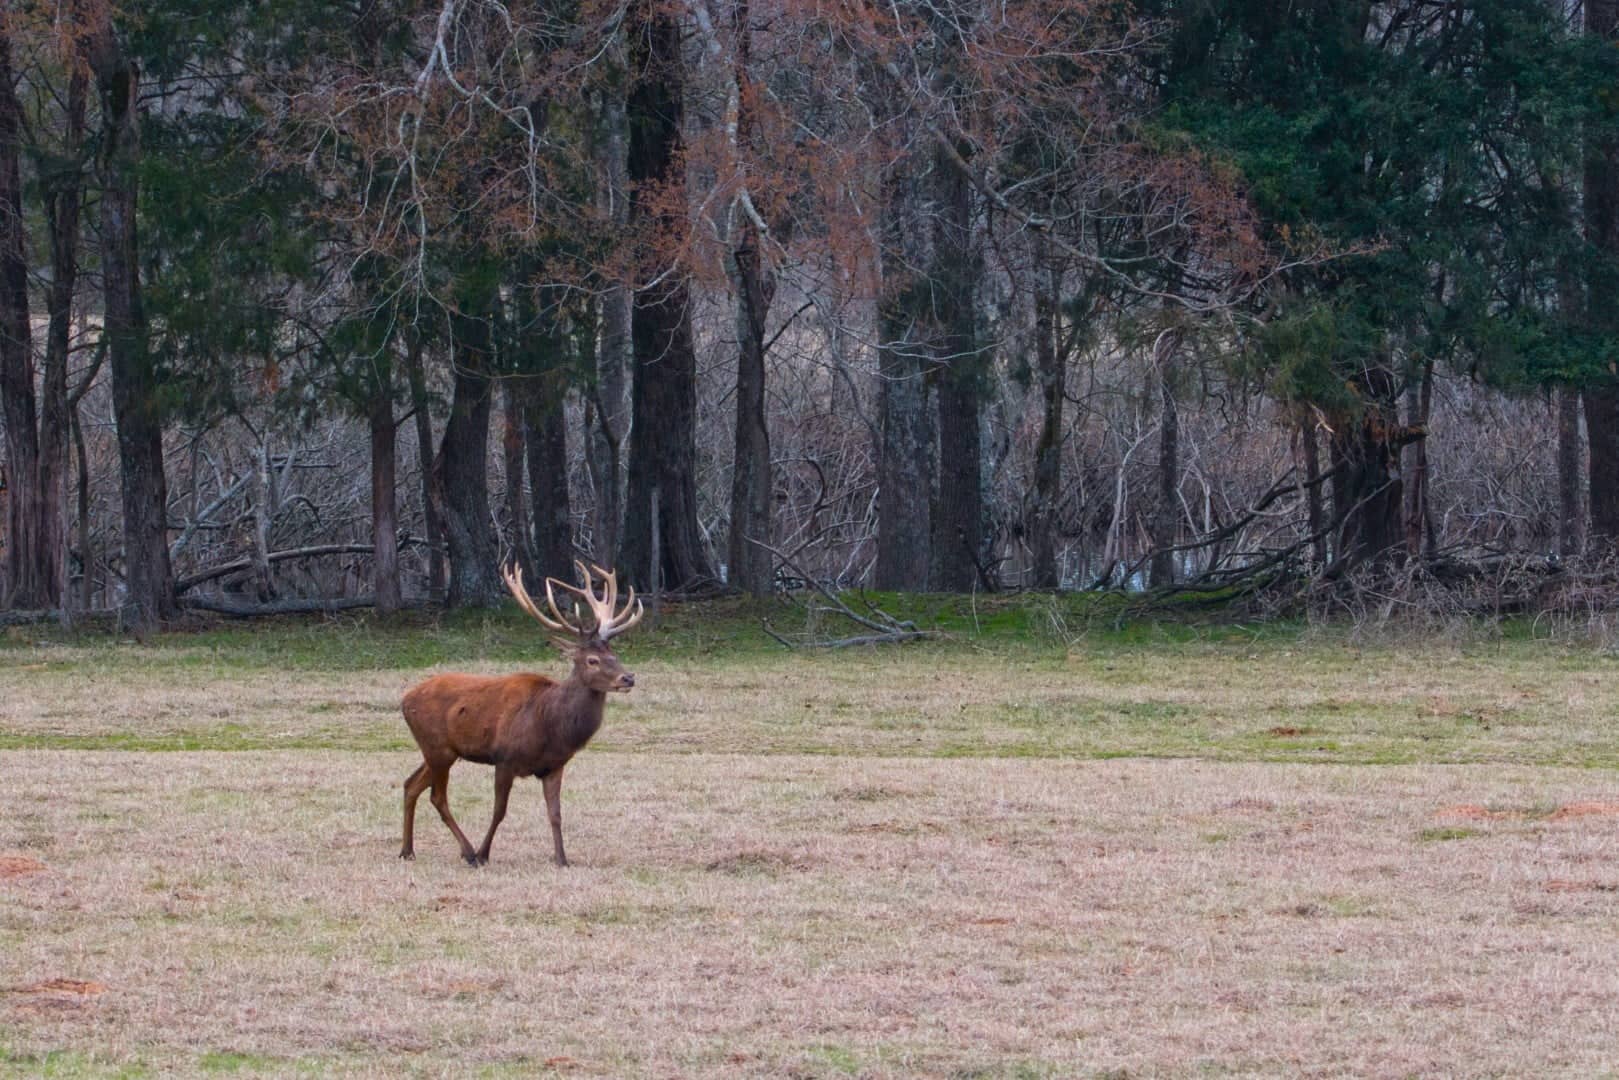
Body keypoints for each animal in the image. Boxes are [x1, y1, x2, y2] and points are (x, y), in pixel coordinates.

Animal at [398, 561, 643, 867]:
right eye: (592, 660)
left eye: (615, 655)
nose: (628, 677)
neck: (549, 725)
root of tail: (404, 700)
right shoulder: (504, 758)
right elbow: (499, 811)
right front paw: (484, 854)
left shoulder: (554, 766)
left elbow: (555, 814)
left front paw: (562, 858)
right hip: (438, 748)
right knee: (437, 796)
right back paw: (468, 852)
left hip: (439, 751)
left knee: (411, 784)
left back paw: (407, 850)